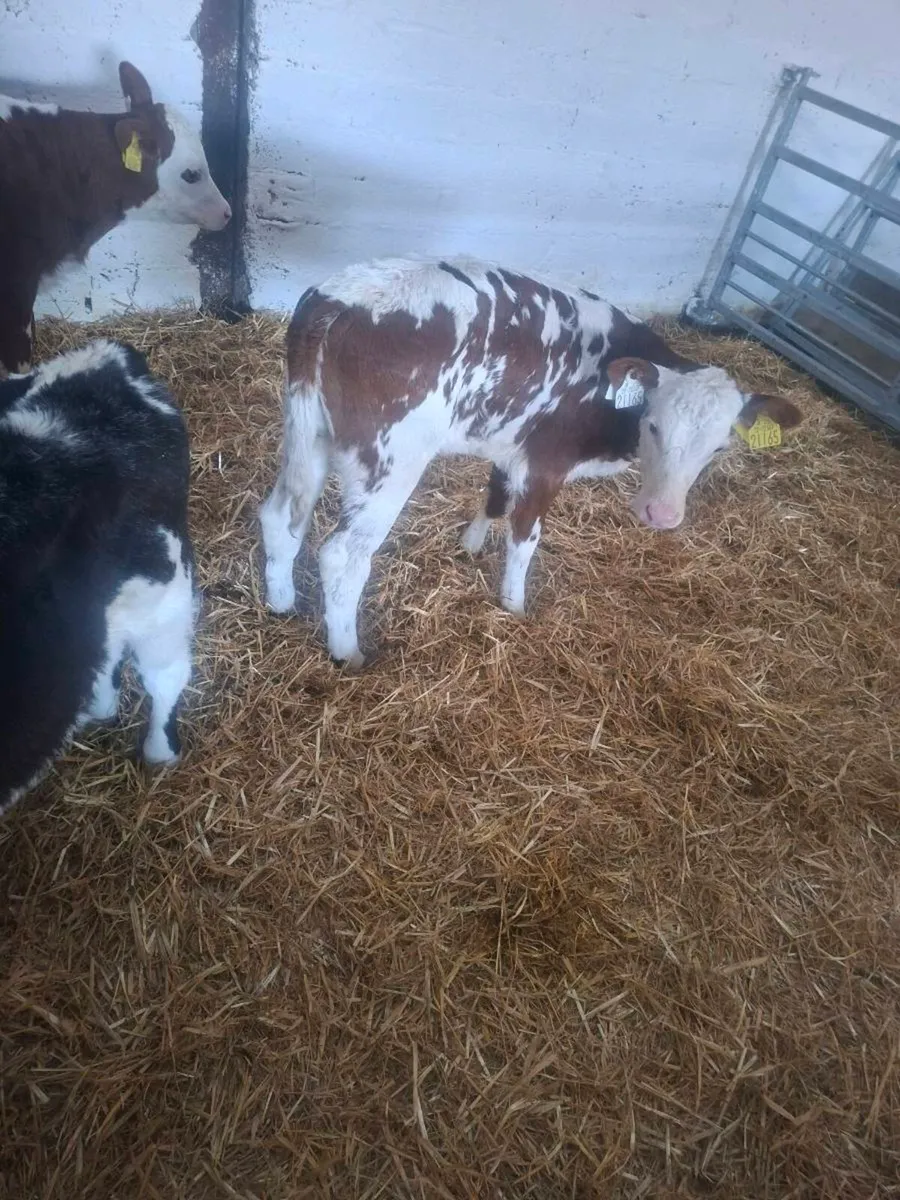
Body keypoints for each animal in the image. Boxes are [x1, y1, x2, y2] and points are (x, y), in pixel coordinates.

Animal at [259, 257, 802, 669]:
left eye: (719, 448)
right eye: (653, 425)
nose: (662, 515)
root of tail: (341, 296)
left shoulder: (513, 445)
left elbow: (496, 498)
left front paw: (471, 544)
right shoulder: (547, 462)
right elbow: (524, 539)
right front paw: (514, 606)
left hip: (309, 434)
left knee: (280, 516)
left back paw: (281, 602)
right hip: (389, 461)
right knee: (343, 555)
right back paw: (347, 652)